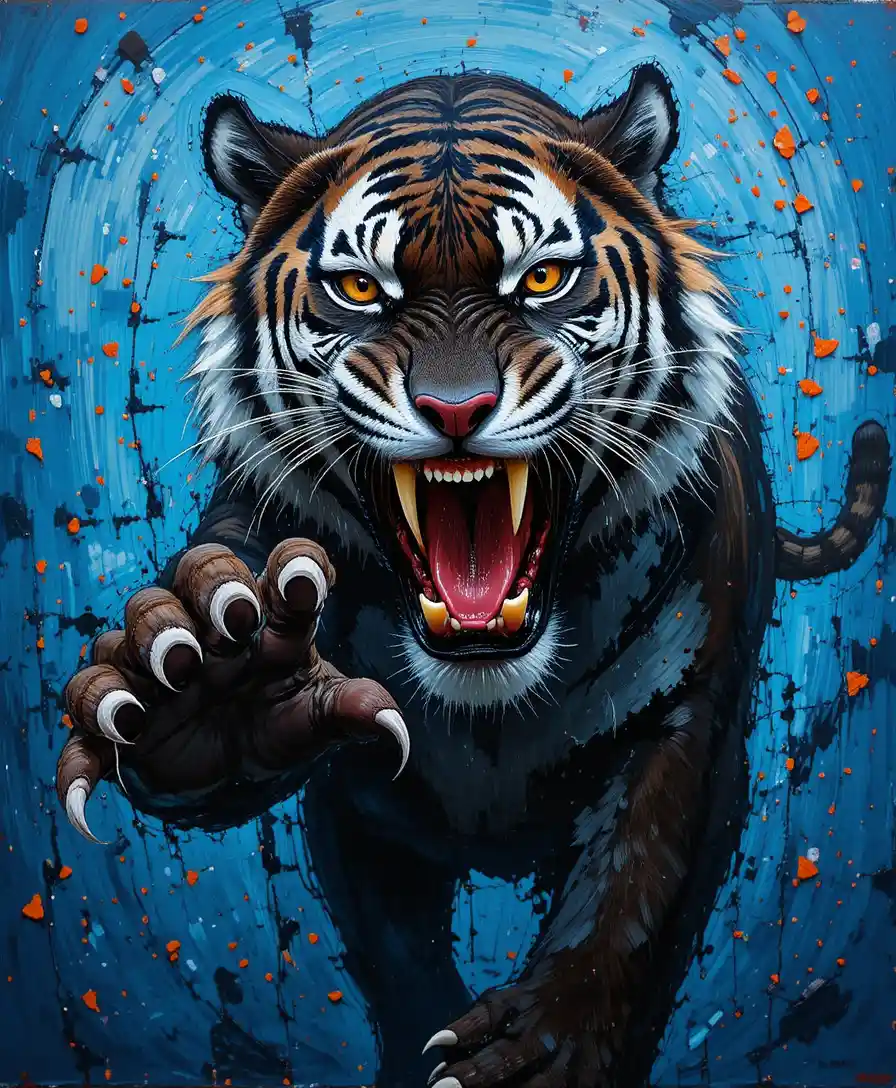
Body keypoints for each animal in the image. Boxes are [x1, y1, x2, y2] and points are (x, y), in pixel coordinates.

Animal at [57, 65, 889, 1087]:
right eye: (359, 289)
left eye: (541, 277)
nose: (456, 409)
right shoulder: (361, 806)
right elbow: (397, 954)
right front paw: (212, 676)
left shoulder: (688, 721)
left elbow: (631, 893)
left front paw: (540, 1051)